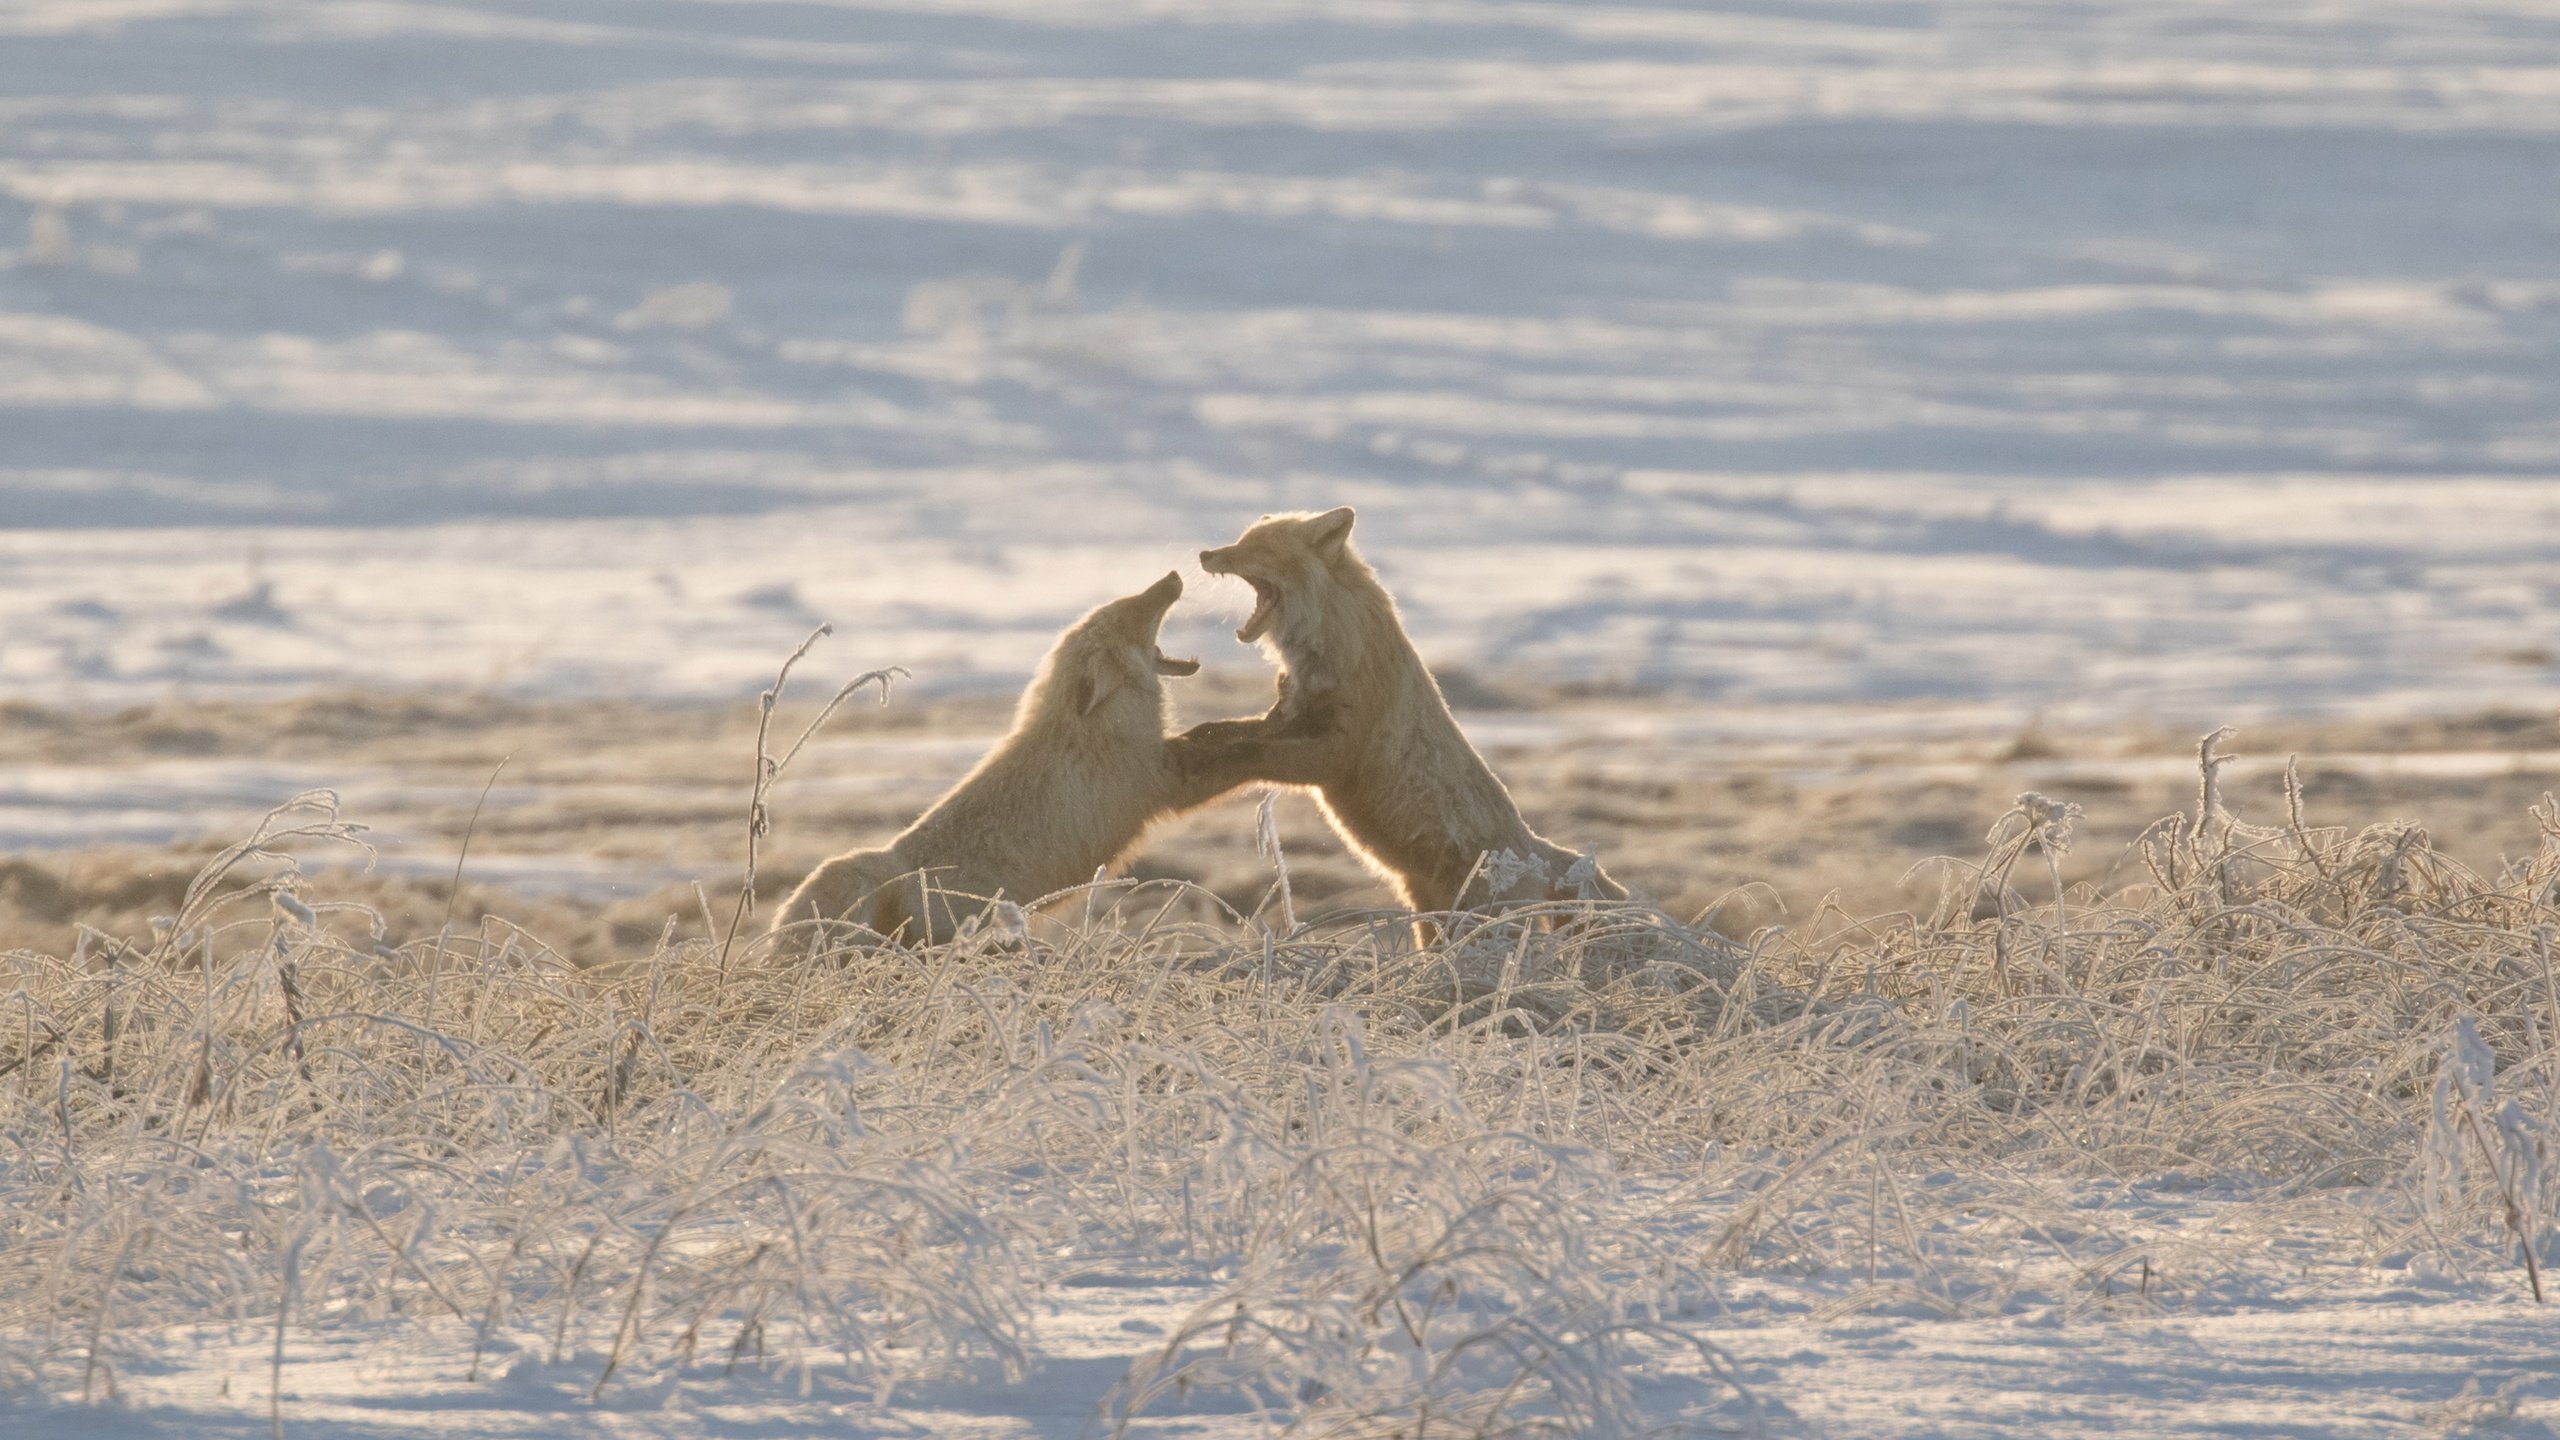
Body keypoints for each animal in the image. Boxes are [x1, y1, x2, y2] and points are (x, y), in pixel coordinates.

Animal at [757, 566, 1280, 948]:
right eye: (1132, 613)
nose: (1172, 575)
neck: (1091, 730)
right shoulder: (1165, 781)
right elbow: (1237, 758)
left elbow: (1216, 739)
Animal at [1177, 504, 1617, 917]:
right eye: (1241, 540)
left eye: (1259, 548)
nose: (1204, 553)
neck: (1331, 652)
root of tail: (1533, 849)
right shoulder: (1291, 719)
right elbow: (1222, 730)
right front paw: (1192, 741)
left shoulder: (1334, 753)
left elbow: (1251, 752)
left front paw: (1212, 760)